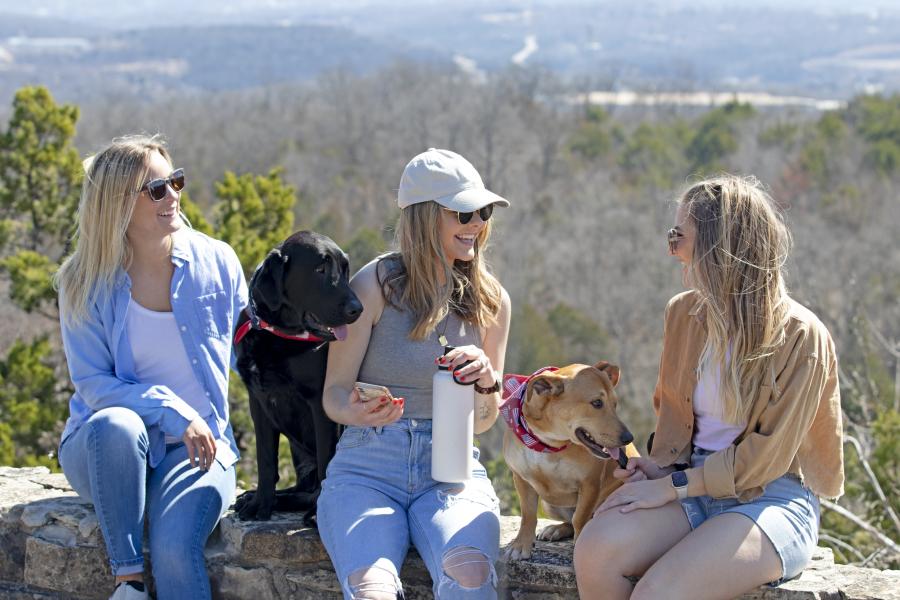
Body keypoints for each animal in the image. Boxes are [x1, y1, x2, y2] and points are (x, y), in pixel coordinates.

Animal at [232, 232, 362, 524]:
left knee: (312, 488)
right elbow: (266, 461)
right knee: (302, 488)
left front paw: (318, 514)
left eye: (345, 269)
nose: (357, 309)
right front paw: (261, 503)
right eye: (320, 269)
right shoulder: (258, 401)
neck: (276, 334)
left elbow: (327, 462)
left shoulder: (321, 404)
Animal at [502, 358, 636, 560]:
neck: (549, 443)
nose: (628, 438)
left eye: (615, 404)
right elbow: (528, 515)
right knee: (568, 522)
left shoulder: (590, 484)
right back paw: (556, 529)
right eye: (597, 403)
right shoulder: (521, 479)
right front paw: (521, 544)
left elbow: (580, 518)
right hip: (549, 504)